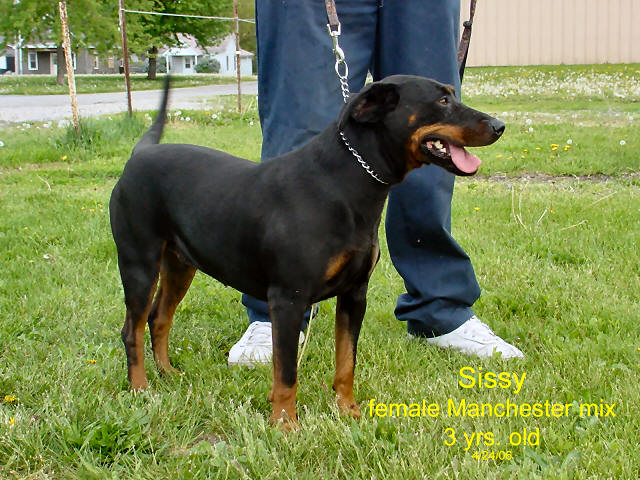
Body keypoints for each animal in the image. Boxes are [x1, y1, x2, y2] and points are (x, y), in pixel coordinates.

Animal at [109, 75, 504, 428]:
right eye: (442, 101)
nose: (499, 125)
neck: (342, 184)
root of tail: (139, 154)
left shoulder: (354, 295)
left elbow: (346, 362)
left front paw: (348, 411)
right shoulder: (288, 298)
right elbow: (286, 371)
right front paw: (286, 425)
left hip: (180, 265)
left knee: (159, 319)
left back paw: (167, 373)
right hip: (139, 263)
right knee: (133, 328)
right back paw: (141, 388)